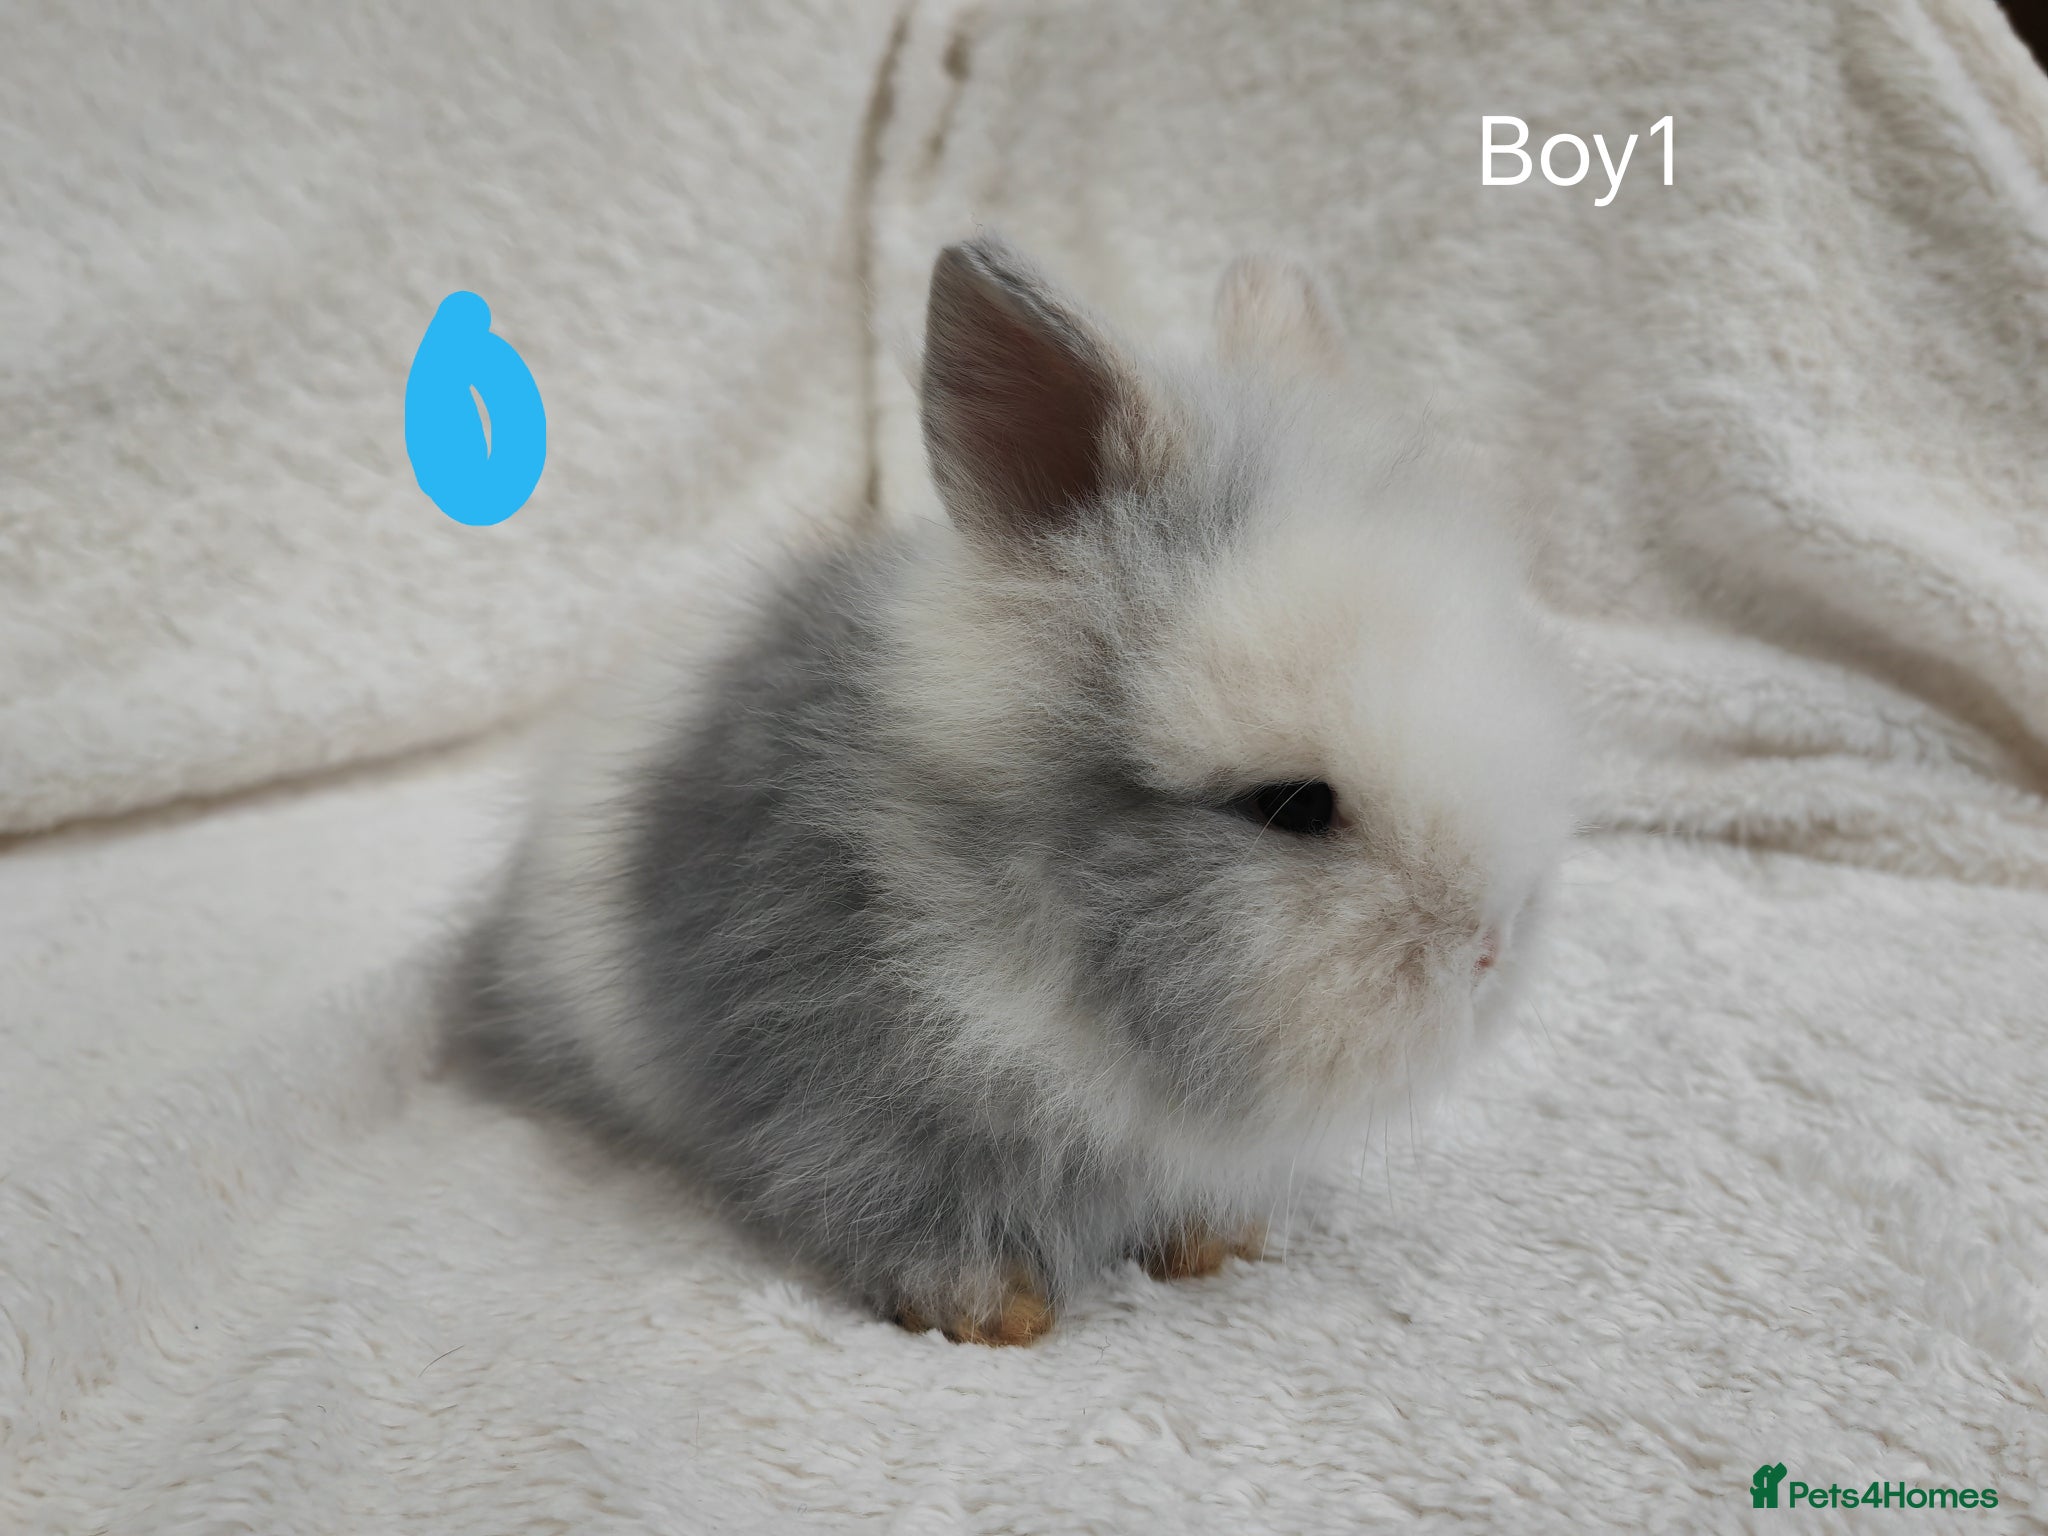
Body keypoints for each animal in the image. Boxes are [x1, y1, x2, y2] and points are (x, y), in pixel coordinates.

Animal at [454, 234, 1576, 1345]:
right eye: (1289, 805)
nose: (1490, 950)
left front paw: (1217, 1246)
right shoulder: (853, 1096)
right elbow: (897, 1199)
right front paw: (990, 1311)